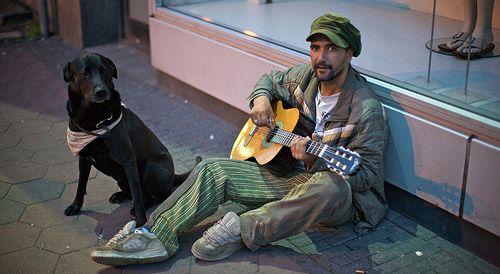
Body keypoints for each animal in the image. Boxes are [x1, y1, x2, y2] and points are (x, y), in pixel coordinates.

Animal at [64, 52, 191, 226]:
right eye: (84, 73)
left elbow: (137, 197)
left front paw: (140, 221)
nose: (101, 91)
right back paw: (119, 195)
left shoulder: (128, 160)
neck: (93, 119)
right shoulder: (83, 158)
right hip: (121, 178)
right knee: (133, 191)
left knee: (160, 195)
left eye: (104, 70)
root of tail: (173, 175)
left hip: (151, 167)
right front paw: (75, 205)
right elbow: (81, 184)